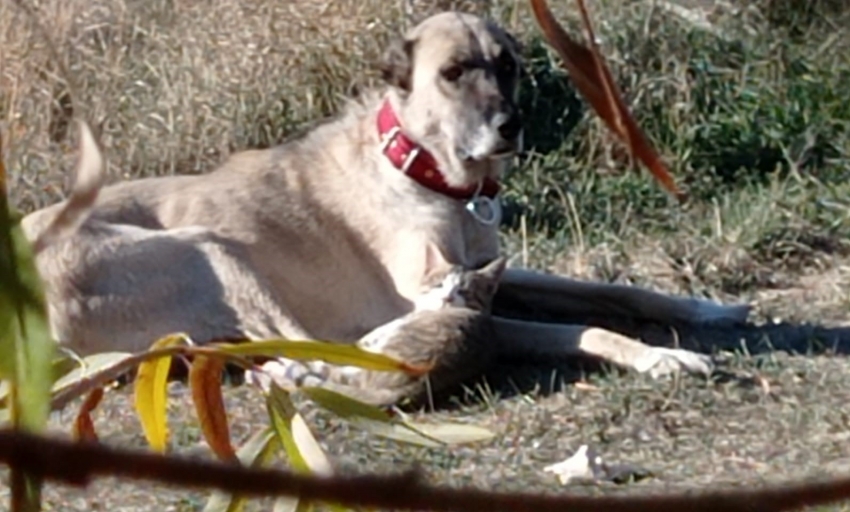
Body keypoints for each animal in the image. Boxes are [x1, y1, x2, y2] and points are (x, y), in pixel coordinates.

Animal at [21, 10, 748, 384]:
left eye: (507, 66)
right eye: (453, 72)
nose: (510, 127)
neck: (423, 170)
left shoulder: (489, 267)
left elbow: (610, 291)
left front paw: (704, 308)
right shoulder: (445, 292)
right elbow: (584, 326)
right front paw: (661, 355)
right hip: (209, 249)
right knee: (301, 344)